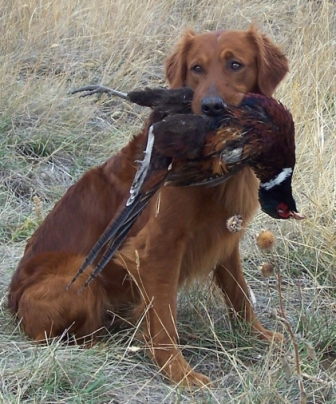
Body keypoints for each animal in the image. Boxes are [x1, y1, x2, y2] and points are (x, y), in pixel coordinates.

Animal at [9, 25, 290, 386]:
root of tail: (12, 303)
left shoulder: (225, 237)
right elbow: (164, 314)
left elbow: (239, 292)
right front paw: (179, 372)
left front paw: (259, 335)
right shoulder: (157, 248)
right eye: (196, 68)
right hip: (81, 281)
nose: (212, 107)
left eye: (235, 64)